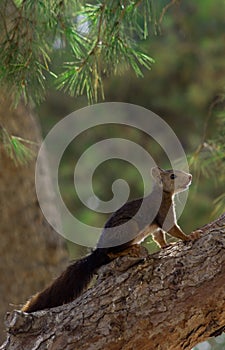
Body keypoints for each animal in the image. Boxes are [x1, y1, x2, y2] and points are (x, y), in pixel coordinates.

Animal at [21, 168, 198, 314]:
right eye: (172, 175)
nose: (190, 177)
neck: (163, 193)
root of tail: (99, 251)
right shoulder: (163, 212)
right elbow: (172, 229)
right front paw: (190, 236)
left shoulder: (156, 226)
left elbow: (159, 237)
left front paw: (167, 245)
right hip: (129, 228)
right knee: (111, 254)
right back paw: (131, 249)